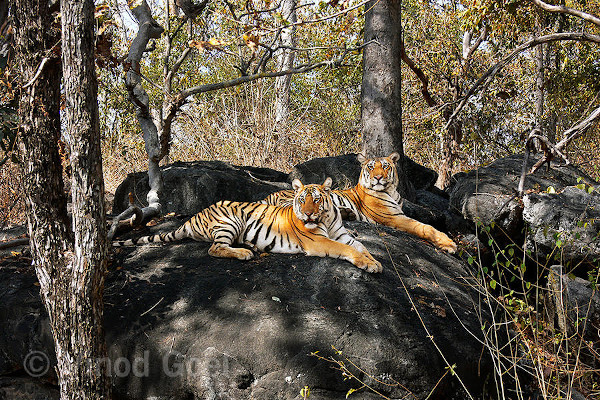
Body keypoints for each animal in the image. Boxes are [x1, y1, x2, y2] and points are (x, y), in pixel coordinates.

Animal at [115, 177, 382, 272]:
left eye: (316, 200)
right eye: (301, 200)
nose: (307, 215)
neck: (325, 218)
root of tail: (193, 216)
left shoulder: (343, 234)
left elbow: (362, 247)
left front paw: (375, 262)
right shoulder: (318, 241)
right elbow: (346, 250)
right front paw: (369, 265)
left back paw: (251, 247)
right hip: (229, 220)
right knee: (214, 248)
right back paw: (244, 253)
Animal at [260, 152, 458, 253]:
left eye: (385, 166)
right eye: (371, 167)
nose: (377, 177)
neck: (391, 191)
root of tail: (272, 193)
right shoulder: (394, 217)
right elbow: (425, 227)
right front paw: (448, 244)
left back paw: (347, 213)